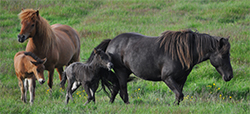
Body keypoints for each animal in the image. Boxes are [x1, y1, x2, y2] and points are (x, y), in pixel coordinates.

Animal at [91, 29, 233, 105]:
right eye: (224, 55)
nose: (229, 76)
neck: (182, 52)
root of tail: (112, 41)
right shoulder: (167, 78)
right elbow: (179, 95)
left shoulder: (181, 79)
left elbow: (179, 95)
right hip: (121, 72)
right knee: (123, 92)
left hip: (124, 74)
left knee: (115, 89)